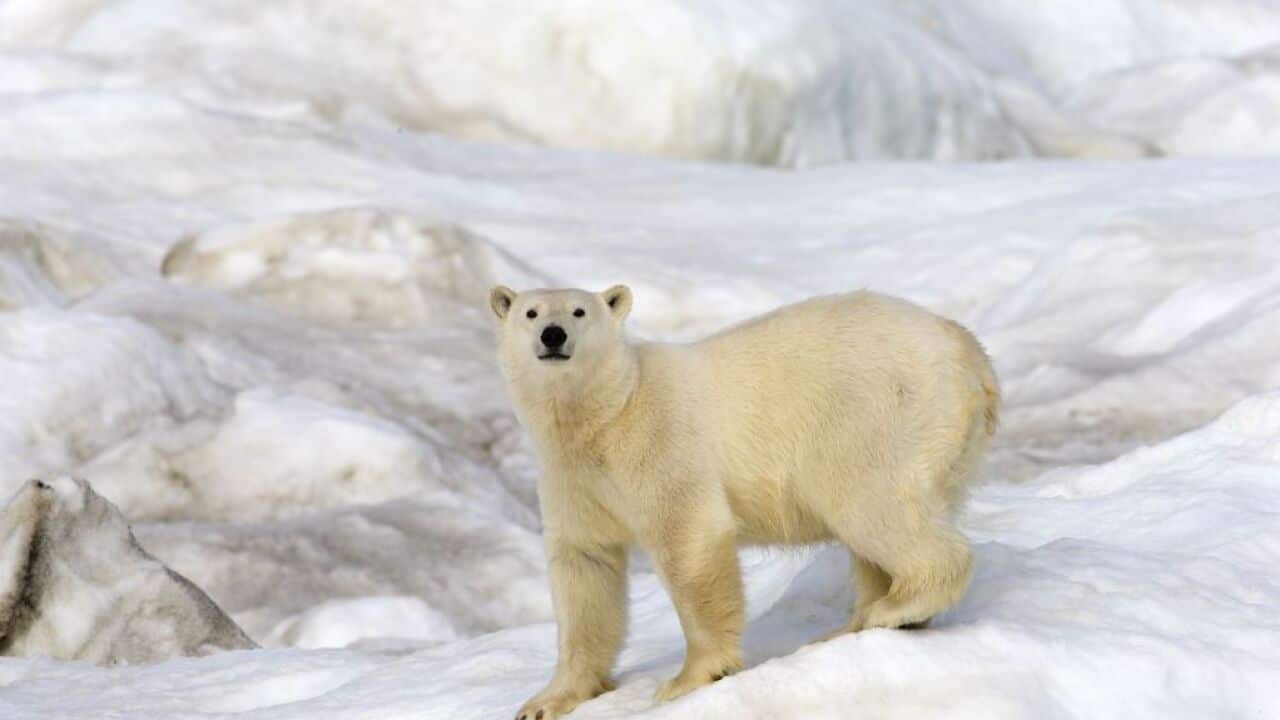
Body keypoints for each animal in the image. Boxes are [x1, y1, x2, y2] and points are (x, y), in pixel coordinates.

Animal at [490, 285, 999, 720]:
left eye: (580, 311)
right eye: (531, 312)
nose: (553, 335)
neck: (609, 411)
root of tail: (970, 353)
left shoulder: (660, 445)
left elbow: (690, 540)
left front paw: (690, 678)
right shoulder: (574, 481)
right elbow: (585, 570)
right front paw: (545, 701)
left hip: (877, 417)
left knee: (874, 508)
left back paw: (888, 609)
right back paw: (861, 622)